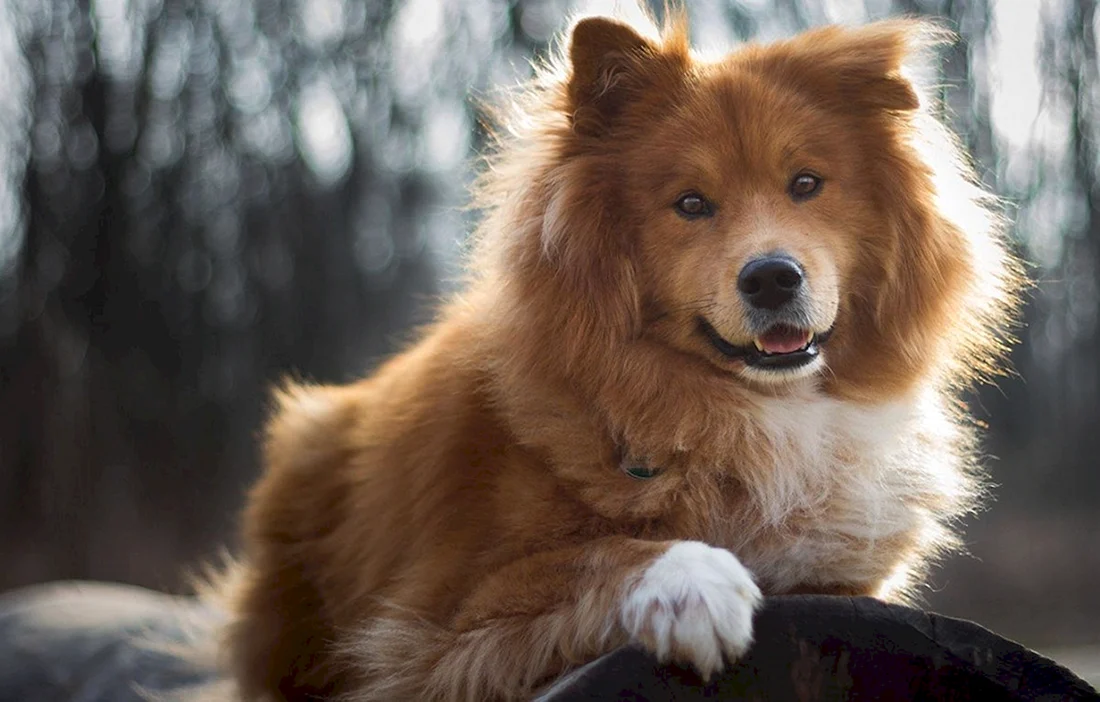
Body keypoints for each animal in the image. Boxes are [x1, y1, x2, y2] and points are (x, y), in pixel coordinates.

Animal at [214, 6, 1020, 702]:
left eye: (806, 184)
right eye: (691, 204)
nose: (772, 277)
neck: (744, 410)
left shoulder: (846, 579)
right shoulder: (428, 626)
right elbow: (594, 554)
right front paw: (693, 583)